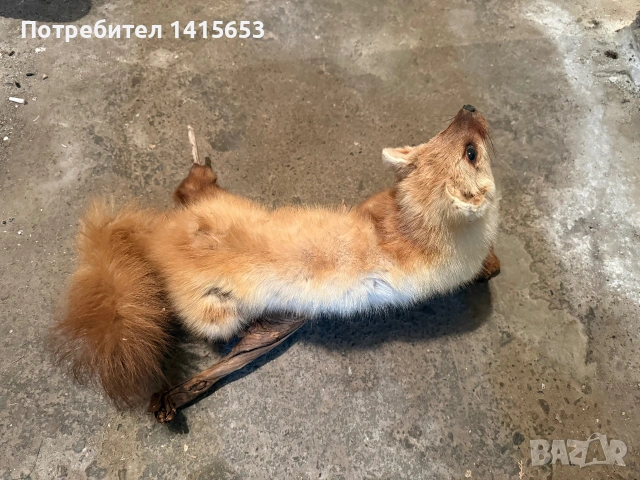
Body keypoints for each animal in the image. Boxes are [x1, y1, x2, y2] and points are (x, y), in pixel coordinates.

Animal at [53, 105, 500, 407]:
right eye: (466, 147)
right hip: (218, 316)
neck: (411, 233)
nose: (470, 107)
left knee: (188, 189)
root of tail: (157, 238)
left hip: (218, 210)